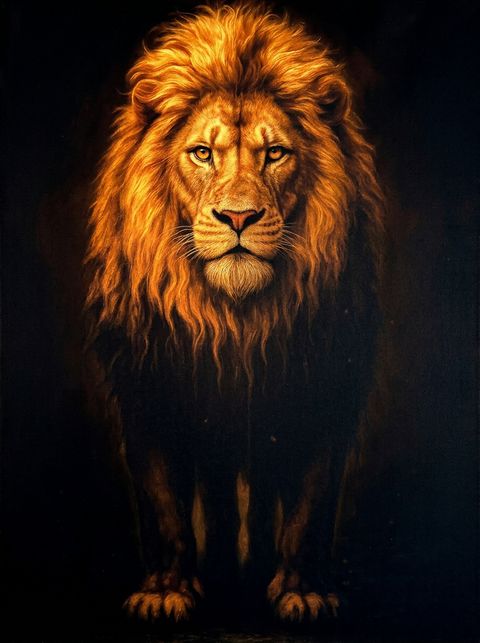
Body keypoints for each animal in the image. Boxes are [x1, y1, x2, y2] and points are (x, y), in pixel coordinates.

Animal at [86, 2, 384, 626]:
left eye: (275, 153)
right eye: (203, 152)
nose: (239, 218)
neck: (236, 323)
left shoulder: (320, 389)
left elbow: (308, 506)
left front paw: (303, 593)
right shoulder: (150, 388)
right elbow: (166, 508)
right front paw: (166, 594)